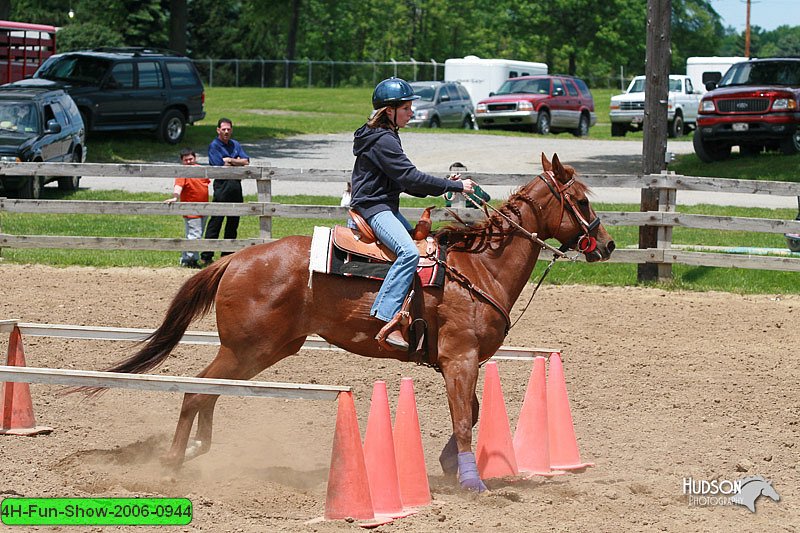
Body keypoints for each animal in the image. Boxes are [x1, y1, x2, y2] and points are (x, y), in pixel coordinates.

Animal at [97, 152, 616, 488]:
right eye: (581, 202)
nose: (607, 244)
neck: (479, 268)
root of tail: (234, 260)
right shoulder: (460, 358)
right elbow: (465, 418)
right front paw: (472, 481)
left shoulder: (461, 363)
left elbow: (471, 410)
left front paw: (450, 466)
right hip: (246, 349)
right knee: (195, 391)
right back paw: (172, 461)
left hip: (260, 351)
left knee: (208, 391)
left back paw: (196, 450)